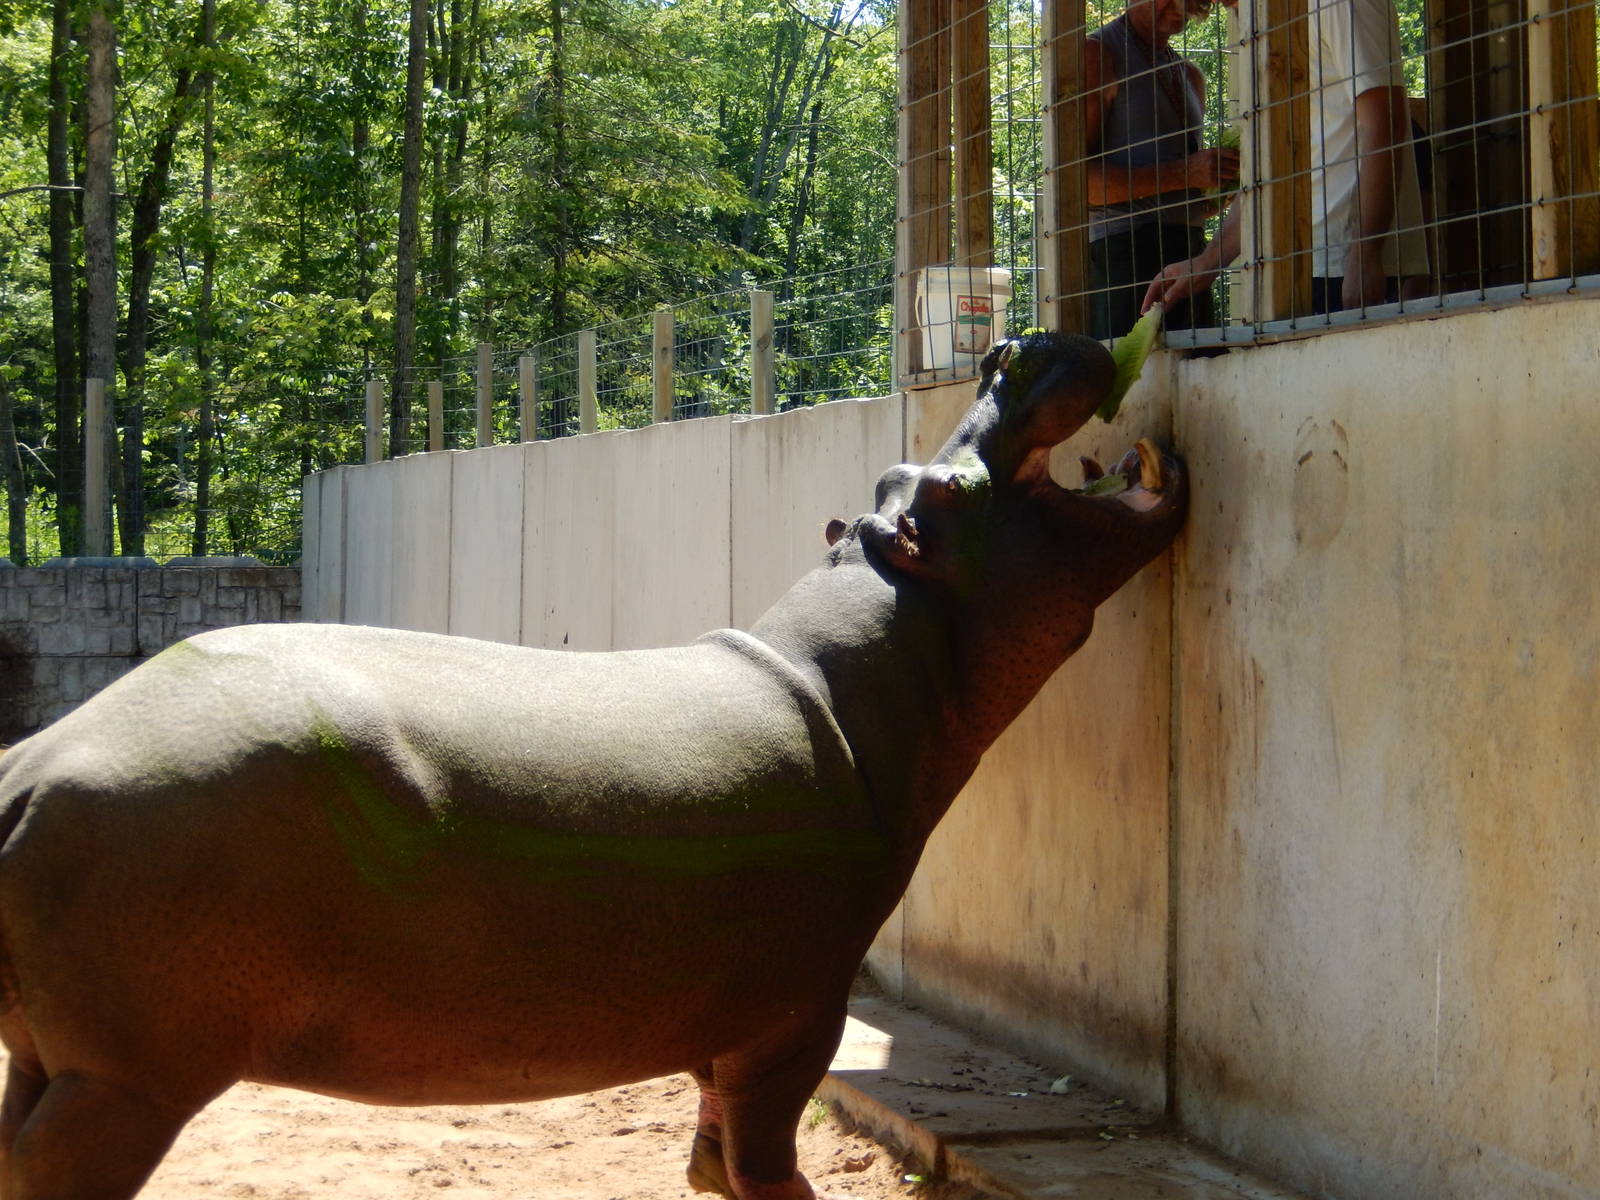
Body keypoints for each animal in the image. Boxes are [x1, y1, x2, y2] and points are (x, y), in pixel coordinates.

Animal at [0, 331, 1185, 1199]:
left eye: (900, 476)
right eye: (946, 493)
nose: (1009, 349)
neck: (857, 671)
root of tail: (32, 765)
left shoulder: (722, 1032)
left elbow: (712, 1166)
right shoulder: (795, 1015)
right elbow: (768, 1172)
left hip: (52, 1058)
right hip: (129, 1080)